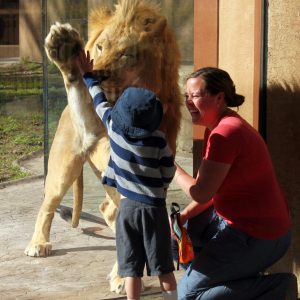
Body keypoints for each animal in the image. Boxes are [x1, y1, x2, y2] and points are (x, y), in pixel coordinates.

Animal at [24, 0, 182, 296]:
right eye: (100, 47)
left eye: (125, 54)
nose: (95, 73)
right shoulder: (94, 129)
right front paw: (64, 48)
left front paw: (122, 276)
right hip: (62, 170)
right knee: (47, 204)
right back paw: (38, 243)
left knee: (108, 210)